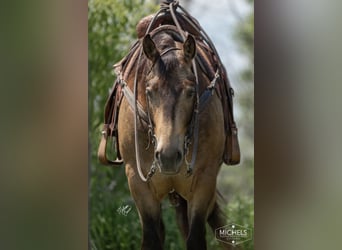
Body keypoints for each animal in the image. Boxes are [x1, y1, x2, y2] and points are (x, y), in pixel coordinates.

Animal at [97, 0, 239, 249]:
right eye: (149, 91)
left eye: (191, 91)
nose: (169, 156)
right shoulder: (138, 183)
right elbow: (152, 237)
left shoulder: (204, 182)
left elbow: (195, 237)